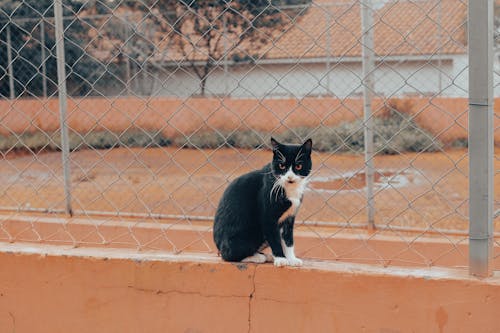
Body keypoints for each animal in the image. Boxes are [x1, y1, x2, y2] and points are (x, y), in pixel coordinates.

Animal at [212, 136, 312, 266]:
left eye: (299, 166)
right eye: (281, 166)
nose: (289, 177)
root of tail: (218, 247)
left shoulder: (289, 218)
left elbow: (288, 240)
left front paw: (292, 259)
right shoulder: (268, 217)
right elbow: (275, 239)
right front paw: (281, 259)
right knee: (228, 256)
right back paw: (259, 257)